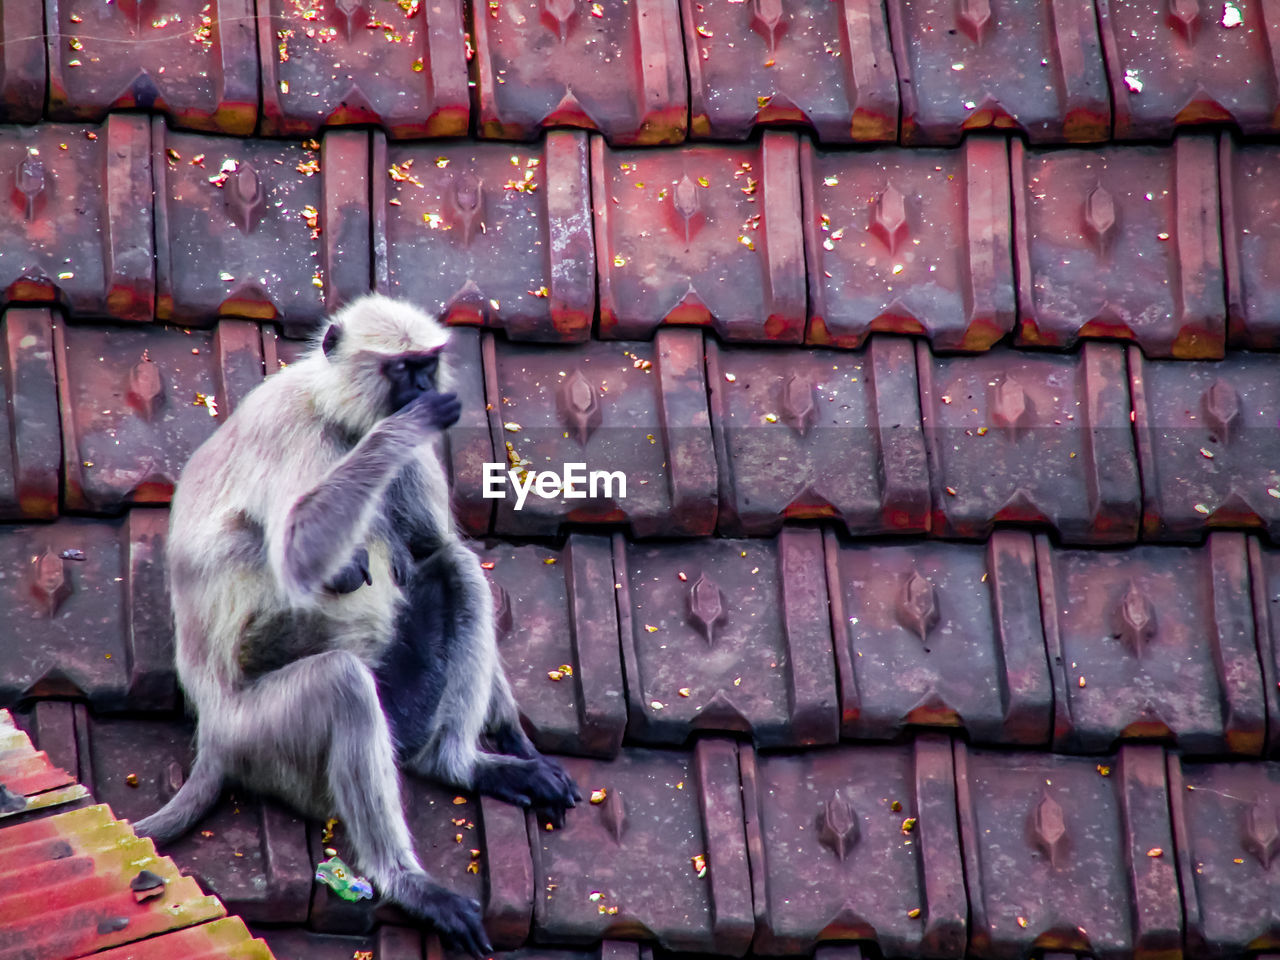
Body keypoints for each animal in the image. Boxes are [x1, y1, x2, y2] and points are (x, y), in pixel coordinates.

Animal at [135, 293, 581, 957]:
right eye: (401, 370)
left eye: (424, 364)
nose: (421, 387)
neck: (338, 416)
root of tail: (211, 735)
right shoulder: (294, 430)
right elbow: (299, 552)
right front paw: (400, 431)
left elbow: (433, 547)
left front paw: (512, 735)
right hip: (257, 733)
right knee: (339, 676)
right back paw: (407, 882)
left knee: (455, 567)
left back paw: (457, 762)